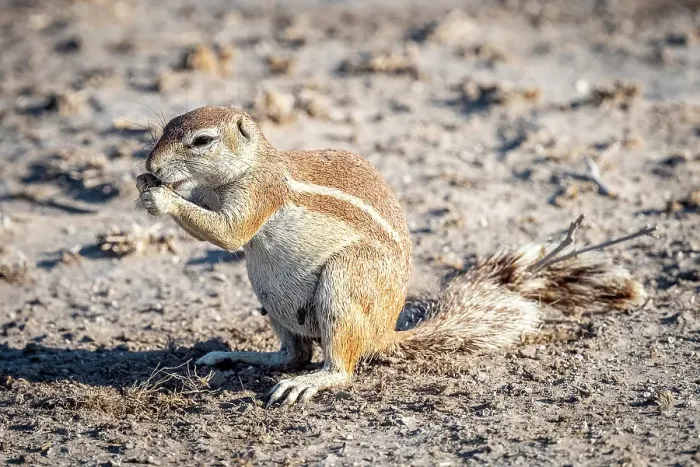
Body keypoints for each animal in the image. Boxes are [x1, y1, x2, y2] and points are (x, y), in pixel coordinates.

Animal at [136, 106, 647, 408]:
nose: (151, 166)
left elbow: (230, 232)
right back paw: (237, 356)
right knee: (292, 354)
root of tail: (384, 334)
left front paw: (160, 197)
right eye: (163, 130)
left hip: (345, 283)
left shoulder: (260, 194)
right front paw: (149, 185)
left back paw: (310, 382)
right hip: (268, 295)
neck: (251, 165)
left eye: (201, 141)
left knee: (335, 366)